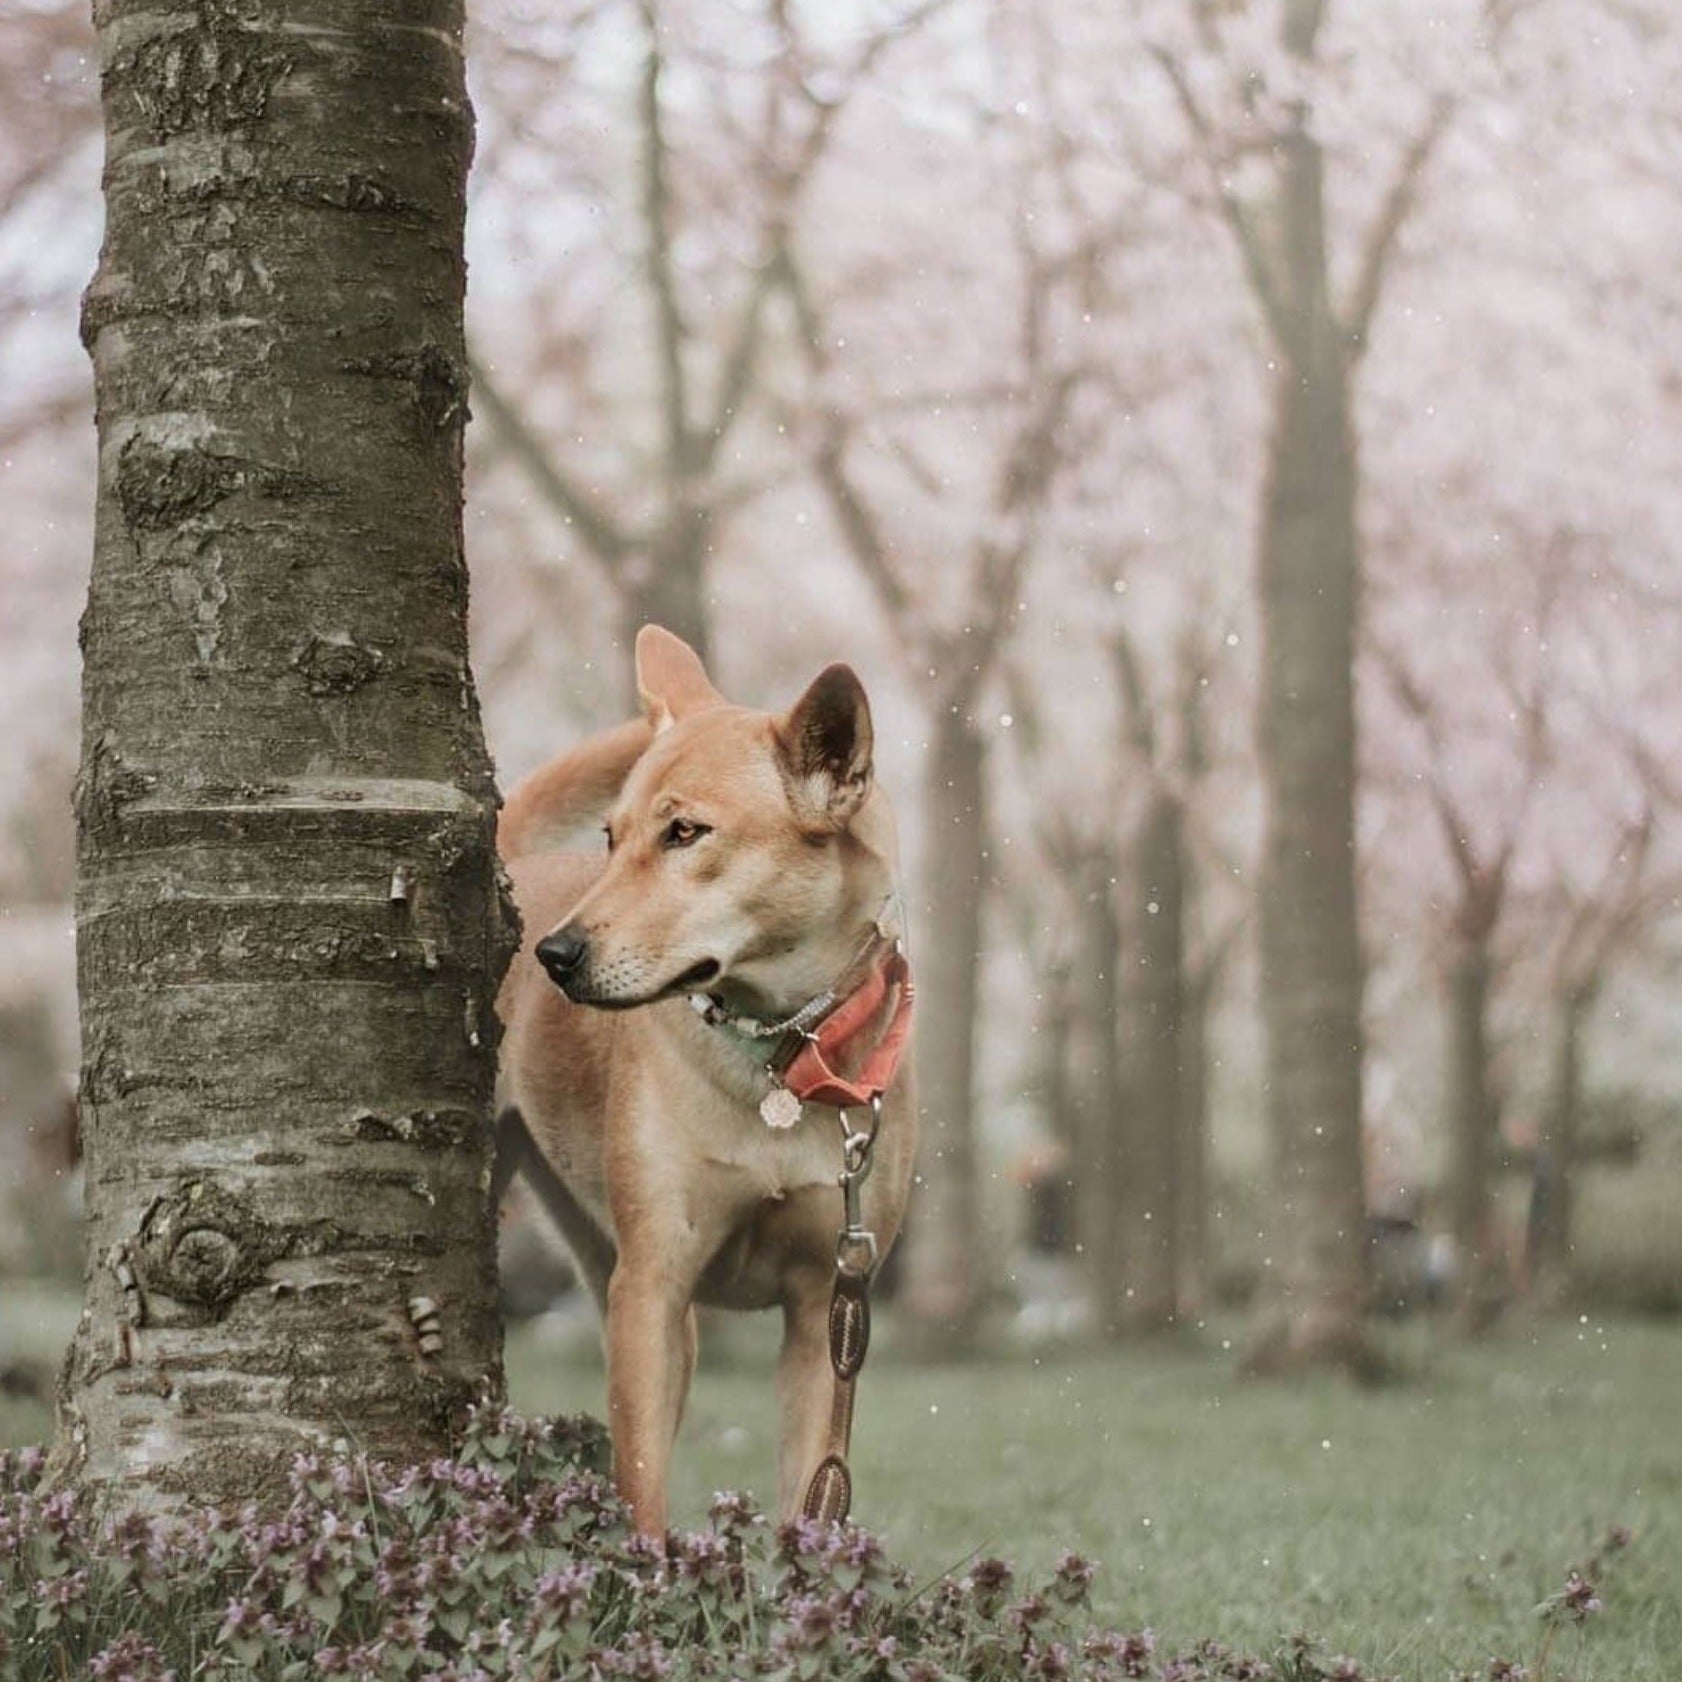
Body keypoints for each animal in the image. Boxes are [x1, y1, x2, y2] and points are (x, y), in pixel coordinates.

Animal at [494, 625, 915, 1533]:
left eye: (686, 833)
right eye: (611, 837)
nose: (555, 954)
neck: (779, 1059)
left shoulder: (826, 1309)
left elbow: (811, 1495)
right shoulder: (653, 1287)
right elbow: (644, 1487)